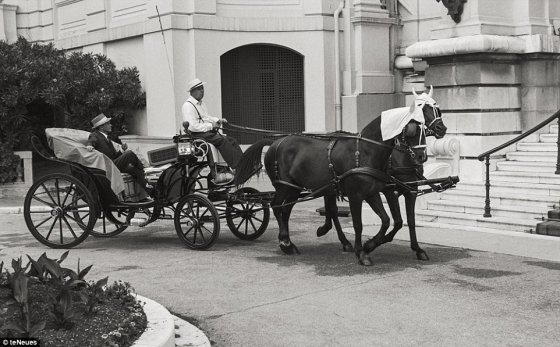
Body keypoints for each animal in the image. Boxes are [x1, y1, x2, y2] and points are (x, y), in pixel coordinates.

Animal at [234, 89, 444, 266]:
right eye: (413, 128)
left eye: (436, 109)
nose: (421, 156)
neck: (367, 150)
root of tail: (275, 141)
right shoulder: (362, 194)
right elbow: (362, 223)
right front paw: (362, 251)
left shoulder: (380, 192)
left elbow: (392, 220)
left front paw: (372, 245)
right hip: (285, 186)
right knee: (278, 207)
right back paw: (286, 242)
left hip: (297, 188)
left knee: (289, 211)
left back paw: (295, 242)